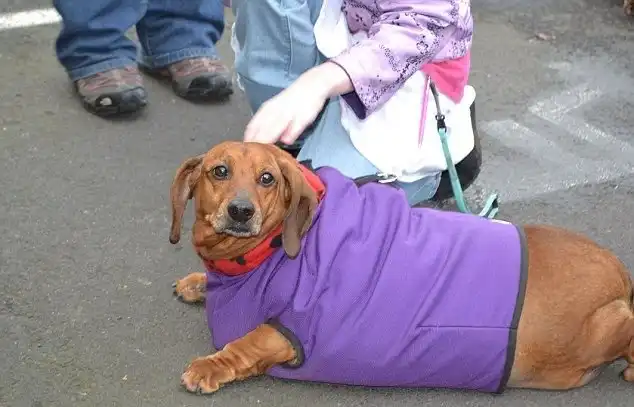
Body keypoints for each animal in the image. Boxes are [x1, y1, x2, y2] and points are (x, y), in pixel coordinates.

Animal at [169, 140, 634, 395]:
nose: (241, 211)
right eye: (219, 171)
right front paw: (196, 282)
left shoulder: (293, 331)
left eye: (267, 178)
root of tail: (620, 272)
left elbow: (246, 343)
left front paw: (209, 366)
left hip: (610, 323)